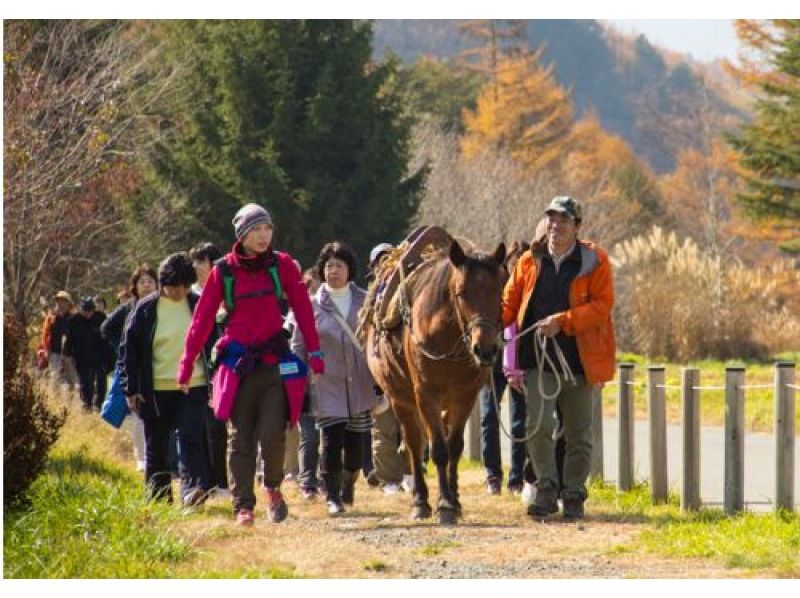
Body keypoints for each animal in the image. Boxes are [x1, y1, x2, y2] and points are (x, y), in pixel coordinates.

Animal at [364, 237, 504, 528]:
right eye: (461, 293)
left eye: (498, 292)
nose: (485, 349)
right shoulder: (426, 394)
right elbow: (438, 449)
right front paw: (443, 505)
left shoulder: (465, 395)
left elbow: (454, 446)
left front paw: (453, 501)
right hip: (401, 398)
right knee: (414, 444)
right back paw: (420, 500)